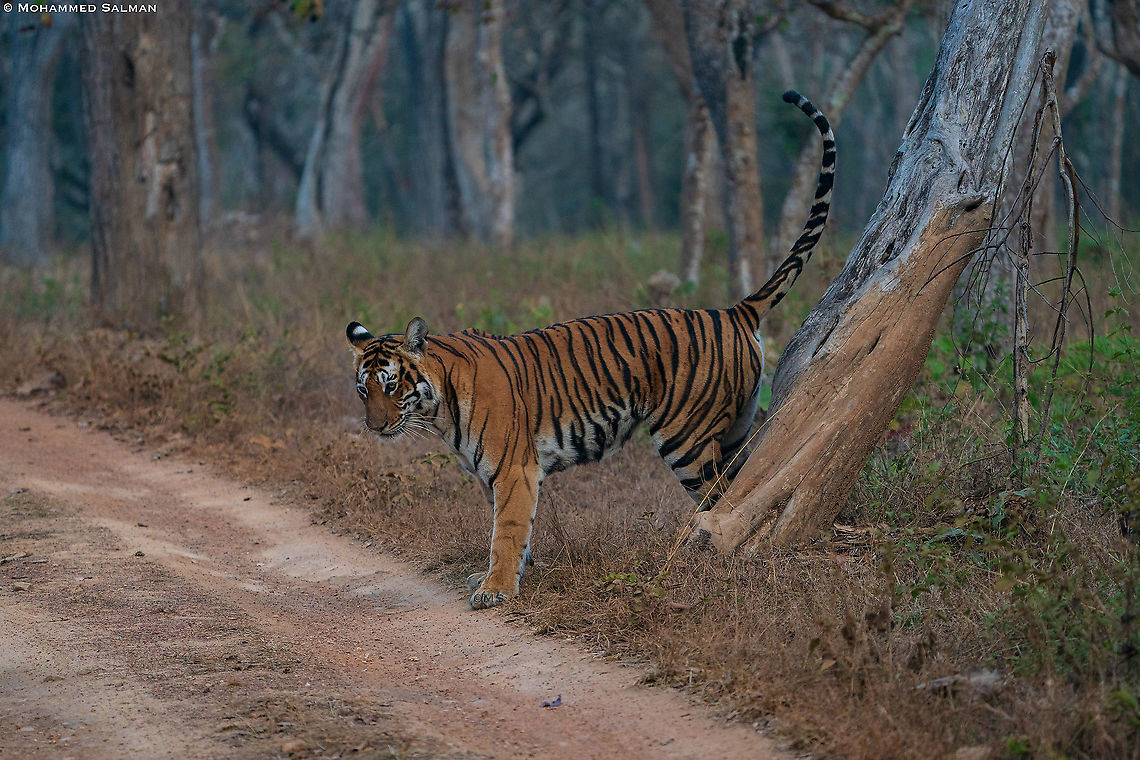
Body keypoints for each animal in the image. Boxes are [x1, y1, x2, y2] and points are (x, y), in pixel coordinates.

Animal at [347, 90, 834, 609]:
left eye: (391, 386)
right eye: (363, 390)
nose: (374, 427)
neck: (440, 409)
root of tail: (732, 311)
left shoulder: (515, 470)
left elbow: (507, 530)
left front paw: (496, 589)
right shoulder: (496, 475)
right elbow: (510, 530)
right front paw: (503, 576)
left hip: (686, 439)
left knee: (719, 497)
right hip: (734, 429)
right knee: (745, 480)